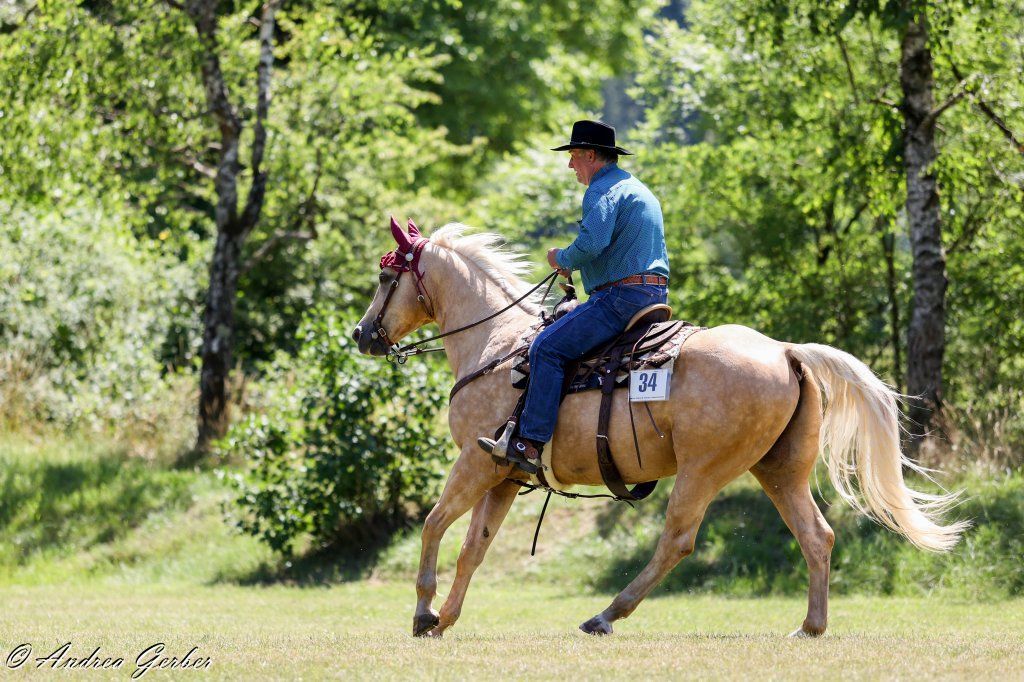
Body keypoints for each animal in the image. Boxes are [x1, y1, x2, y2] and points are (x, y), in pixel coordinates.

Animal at [352, 219, 966, 639]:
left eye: (385, 276)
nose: (362, 334)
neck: (497, 345)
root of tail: (787, 351)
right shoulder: (505, 472)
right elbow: (472, 549)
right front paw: (446, 618)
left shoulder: (476, 461)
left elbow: (434, 525)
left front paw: (423, 612)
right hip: (778, 470)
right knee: (816, 536)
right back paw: (810, 626)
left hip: (703, 471)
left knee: (677, 541)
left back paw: (606, 614)